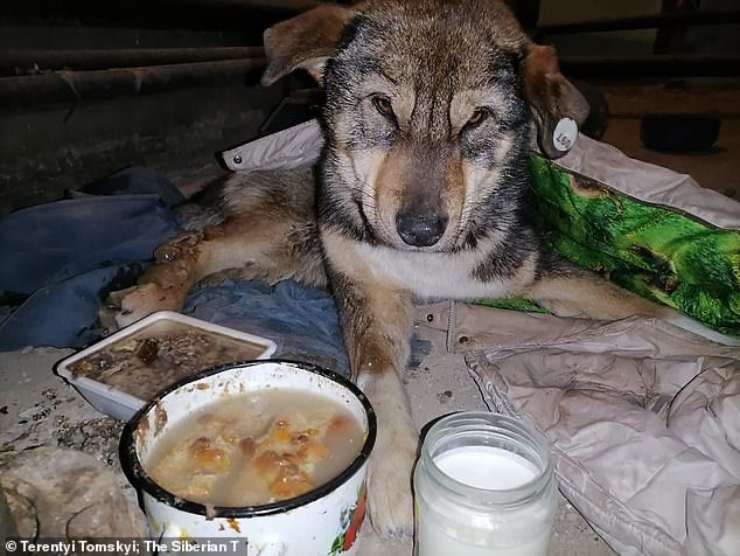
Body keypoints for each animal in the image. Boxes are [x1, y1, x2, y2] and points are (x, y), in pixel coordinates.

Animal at [99, 0, 664, 540]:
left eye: (477, 119)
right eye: (383, 106)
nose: (420, 230)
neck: (430, 266)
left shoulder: (534, 273)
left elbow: (639, 309)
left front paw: (681, 340)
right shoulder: (371, 294)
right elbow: (381, 382)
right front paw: (397, 479)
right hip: (290, 229)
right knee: (202, 243)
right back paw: (153, 294)